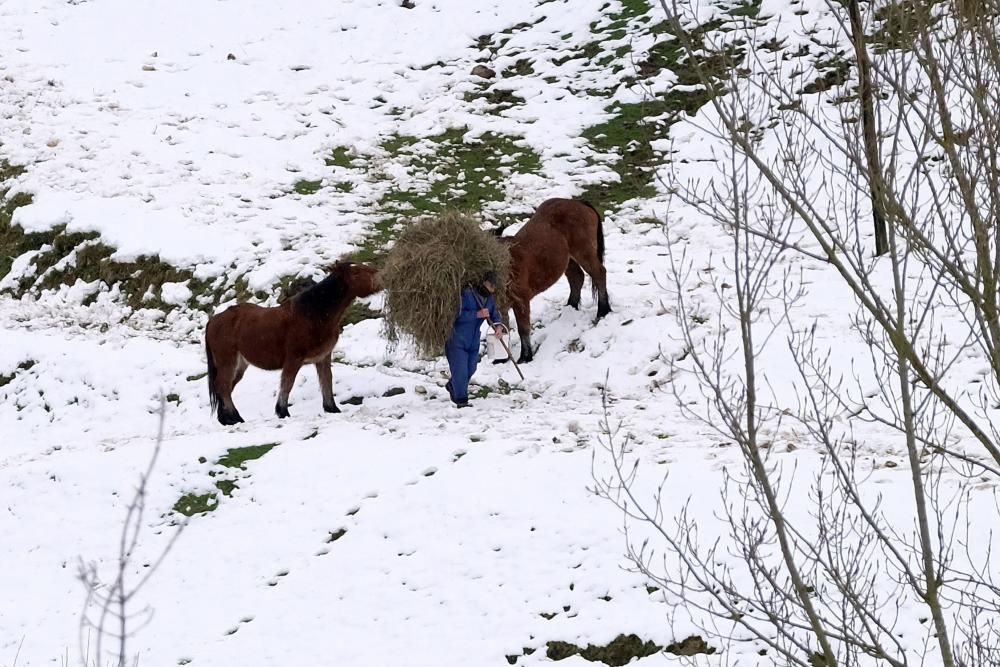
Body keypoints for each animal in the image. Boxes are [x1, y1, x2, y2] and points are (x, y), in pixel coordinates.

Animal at [203, 260, 378, 422]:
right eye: (356, 272)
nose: (378, 273)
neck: (314, 314)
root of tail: (213, 320)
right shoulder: (294, 359)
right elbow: (287, 384)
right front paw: (282, 412)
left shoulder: (323, 357)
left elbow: (327, 381)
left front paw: (332, 408)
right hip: (228, 361)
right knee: (223, 387)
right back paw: (236, 417)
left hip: (240, 364)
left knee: (225, 388)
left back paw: (226, 419)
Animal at [498, 198, 608, 366]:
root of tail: (578, 202)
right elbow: (502, 329)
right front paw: (503, 358)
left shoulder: (521, 301)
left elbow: (523, 329)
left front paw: (525, 357)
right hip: (568, 259)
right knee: (577, 278)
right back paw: (571, 307)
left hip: (584, 253)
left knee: (599, 274)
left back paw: (603, 310)